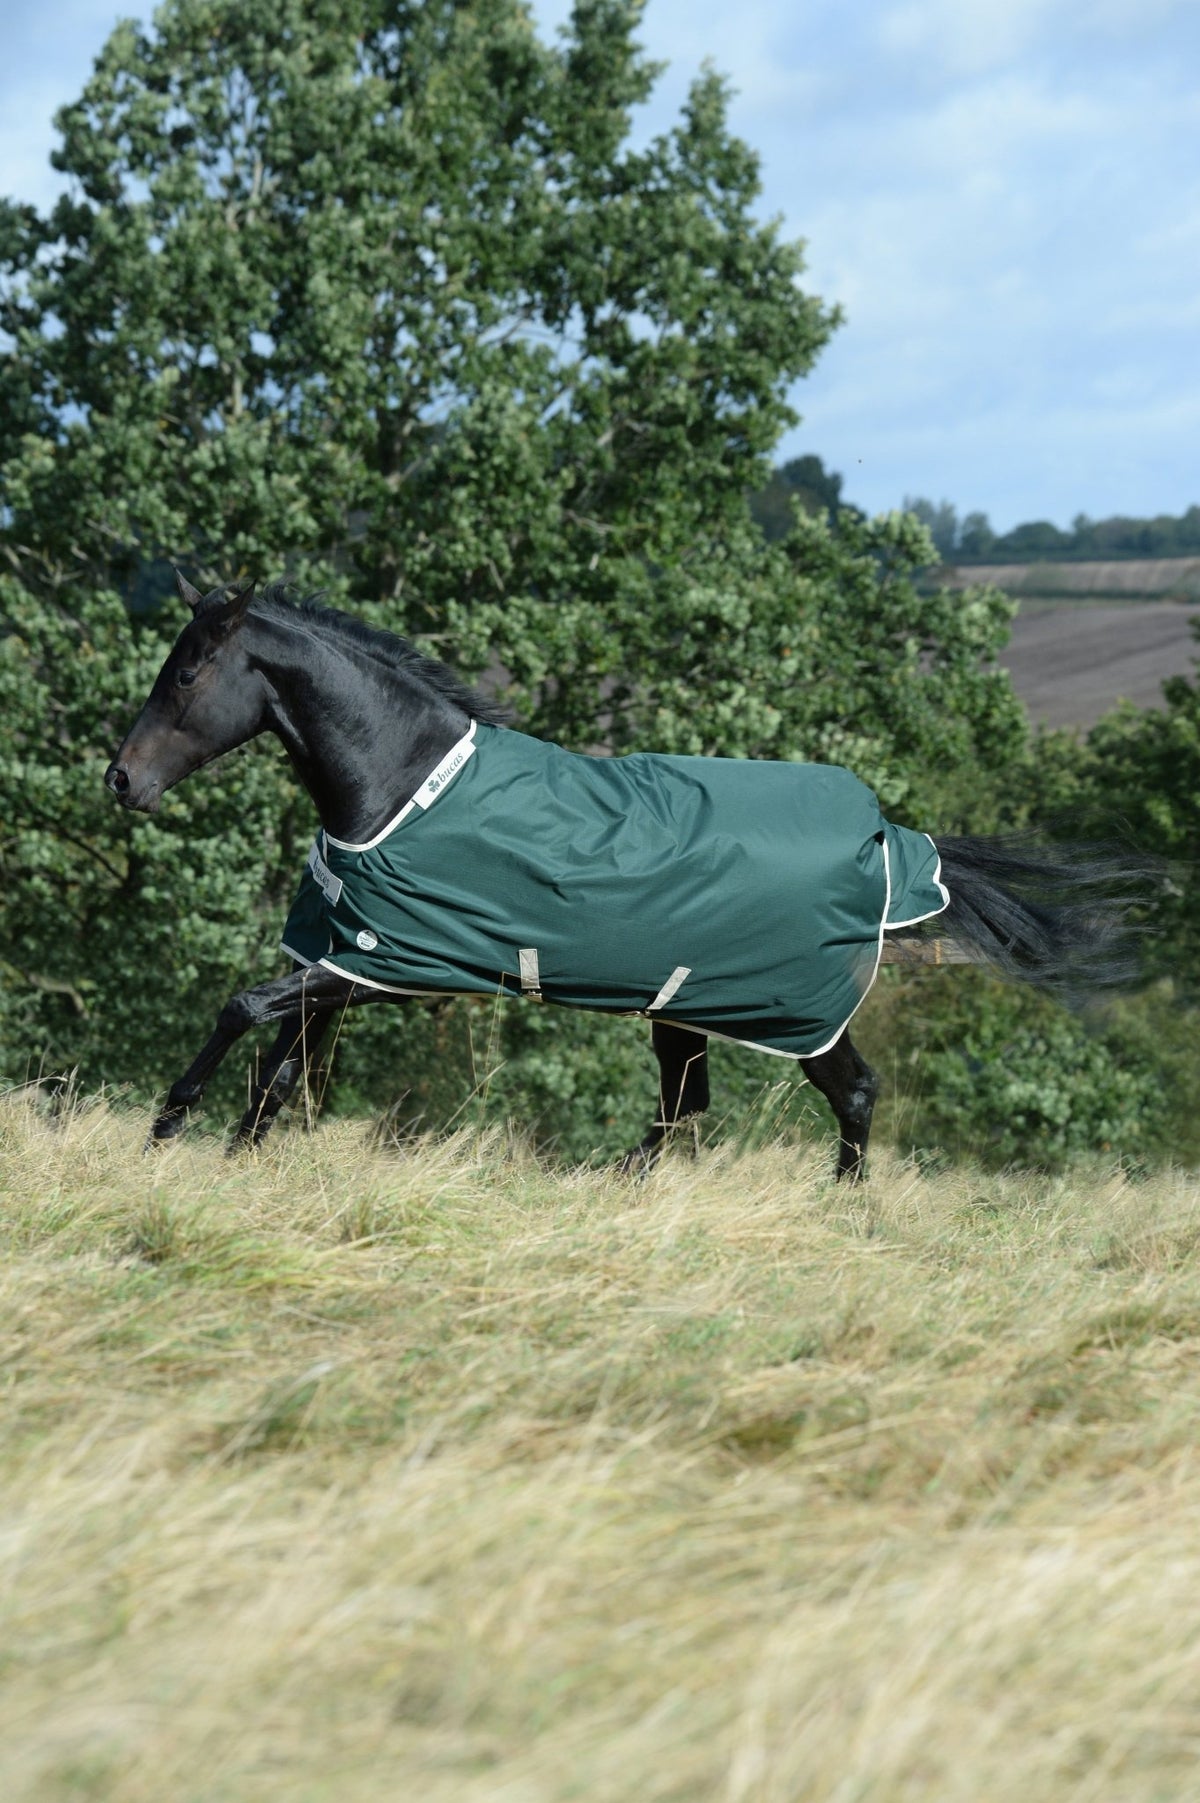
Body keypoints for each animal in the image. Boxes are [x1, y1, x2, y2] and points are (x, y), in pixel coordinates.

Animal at [104, 574, 1141, 1178]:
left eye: (187, 675)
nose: (121, 779)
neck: (402, 784)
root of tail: (888, 837)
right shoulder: (345, 962)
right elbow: (279, 1074)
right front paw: (236, 1161)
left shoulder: (384, 966)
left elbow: (242, 1010)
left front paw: (165, 1129)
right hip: (684, 1007)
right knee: (688, 1106)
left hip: (790, 1012)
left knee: (850, 1094)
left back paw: (839, 1211)